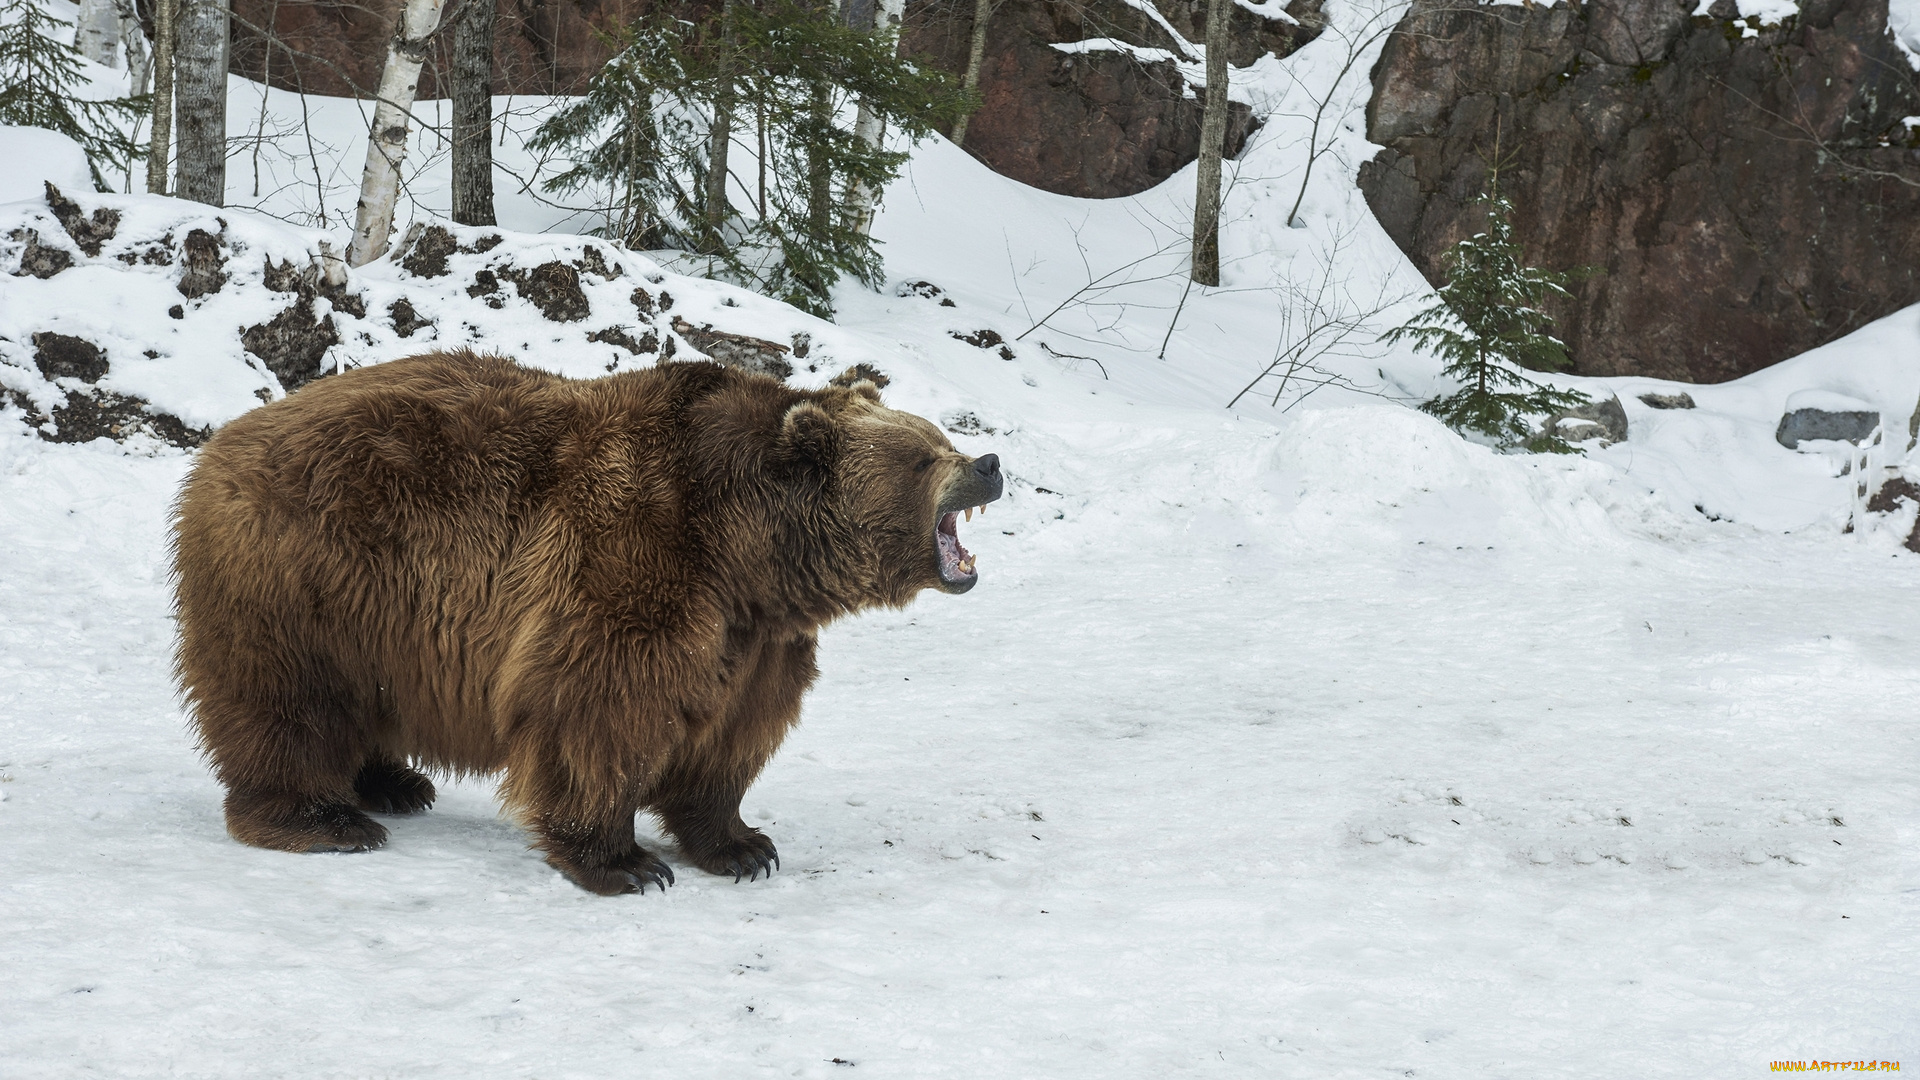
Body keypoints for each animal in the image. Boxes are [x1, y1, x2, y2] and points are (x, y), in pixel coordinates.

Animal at [167, 345, 1006, 891]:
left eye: (939, 436)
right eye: (923, 456)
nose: (990, 463)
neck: (749, 552)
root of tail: (221, 443)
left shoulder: (757, 638)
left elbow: (732, 735)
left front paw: (743, 845)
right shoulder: (634, 557)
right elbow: (600, 708)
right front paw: (625, 862)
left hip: (369, 610)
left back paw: (394, 782)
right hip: (309, 573)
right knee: (288, 698)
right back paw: (322, 819)